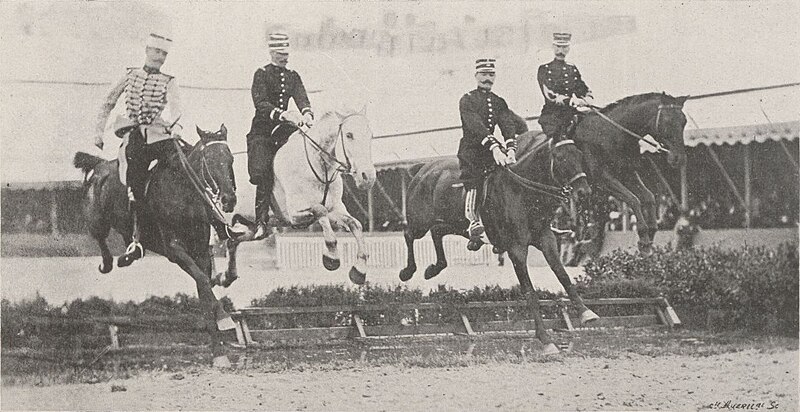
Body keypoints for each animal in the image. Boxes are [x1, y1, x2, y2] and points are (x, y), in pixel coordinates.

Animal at [72, 125, 238, 366]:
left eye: (230, 159)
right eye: (208, 160)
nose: (229, 199)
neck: (182, 194)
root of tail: (101, 165)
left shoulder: (200, 252)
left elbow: (204, 288)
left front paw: (219, 351)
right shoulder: (175, 251)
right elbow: (203, 282)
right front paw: (225, 319)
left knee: (128, 237)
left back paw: (128, 256)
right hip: (95, 217)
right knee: (100, 237)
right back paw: (108, 263)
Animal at [216, 107, 378, 286]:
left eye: (370, 135)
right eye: (349, 135)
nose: (368, 178)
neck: (317, 166)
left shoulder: (334, 210)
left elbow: (355, 224)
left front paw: (359, 271)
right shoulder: (294, 215)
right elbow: (320, 211)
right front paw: (331, 257)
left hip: (249, 227)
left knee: (232, 242)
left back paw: (226, 277)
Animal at [404, 132, 596, 354]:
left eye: (579, 155)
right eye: (562, 158)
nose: (584, 192)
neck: (522, 192)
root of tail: (423, 169)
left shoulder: (546, 240)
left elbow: (563, 275)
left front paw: (586, 312)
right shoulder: (517, 249)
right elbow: (530, 292)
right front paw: (545, 339)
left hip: (454, 224)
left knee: (437, 232)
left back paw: (433, 268)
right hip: (420, 223)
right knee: (409, 235)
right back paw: (407, 271)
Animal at [576, 92, 688, 254]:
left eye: (684, 121)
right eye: (667, 120)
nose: (679, 158)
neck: (610, 134)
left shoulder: (627, 174)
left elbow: (649, 198)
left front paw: (650, 234)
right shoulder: (603, 179)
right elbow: (633, 199)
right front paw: (643, 236)